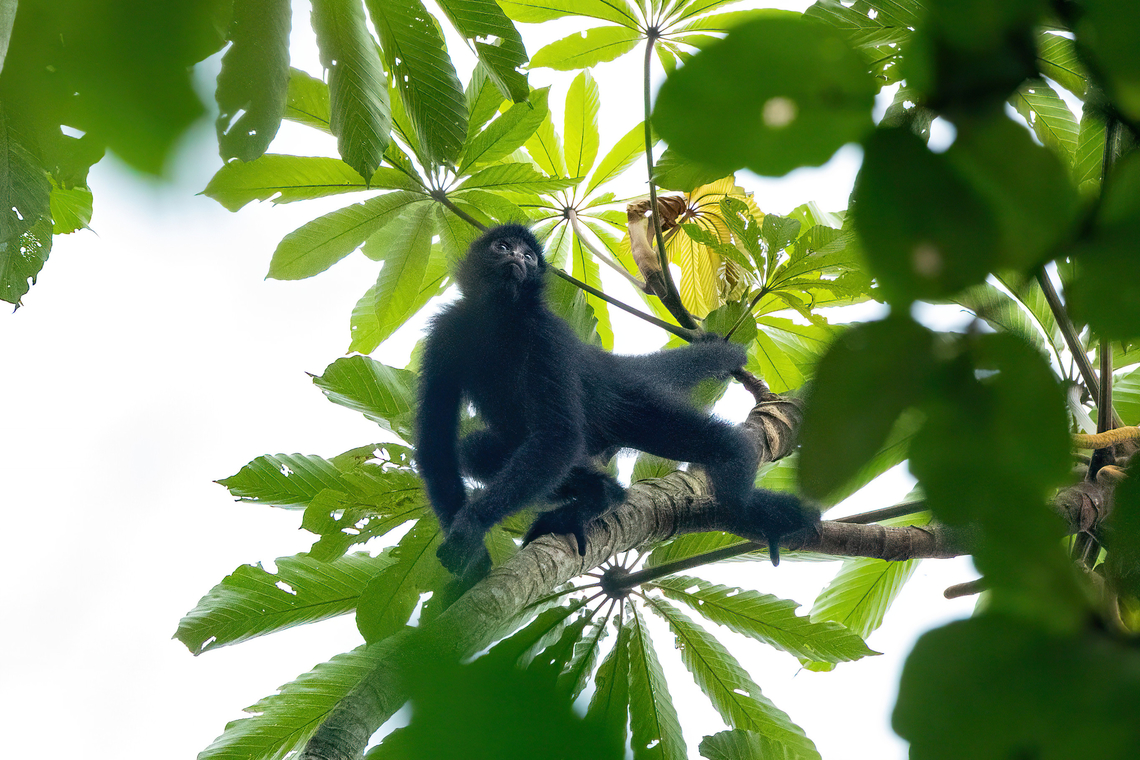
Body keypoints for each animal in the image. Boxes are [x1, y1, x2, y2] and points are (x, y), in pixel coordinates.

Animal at [415, 223, 815, 576]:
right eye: (502, 247)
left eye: (528, 256)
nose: (517, 257)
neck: (500, 317)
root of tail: (610, 366)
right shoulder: (445, 331)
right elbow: (437, 443)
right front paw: (471, 563)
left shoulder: (546, 333)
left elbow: (558, 436)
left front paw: (471, 527)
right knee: (477, 452)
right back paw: (603, 494)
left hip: (634, 406)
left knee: (723, 445)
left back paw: (751, 509)